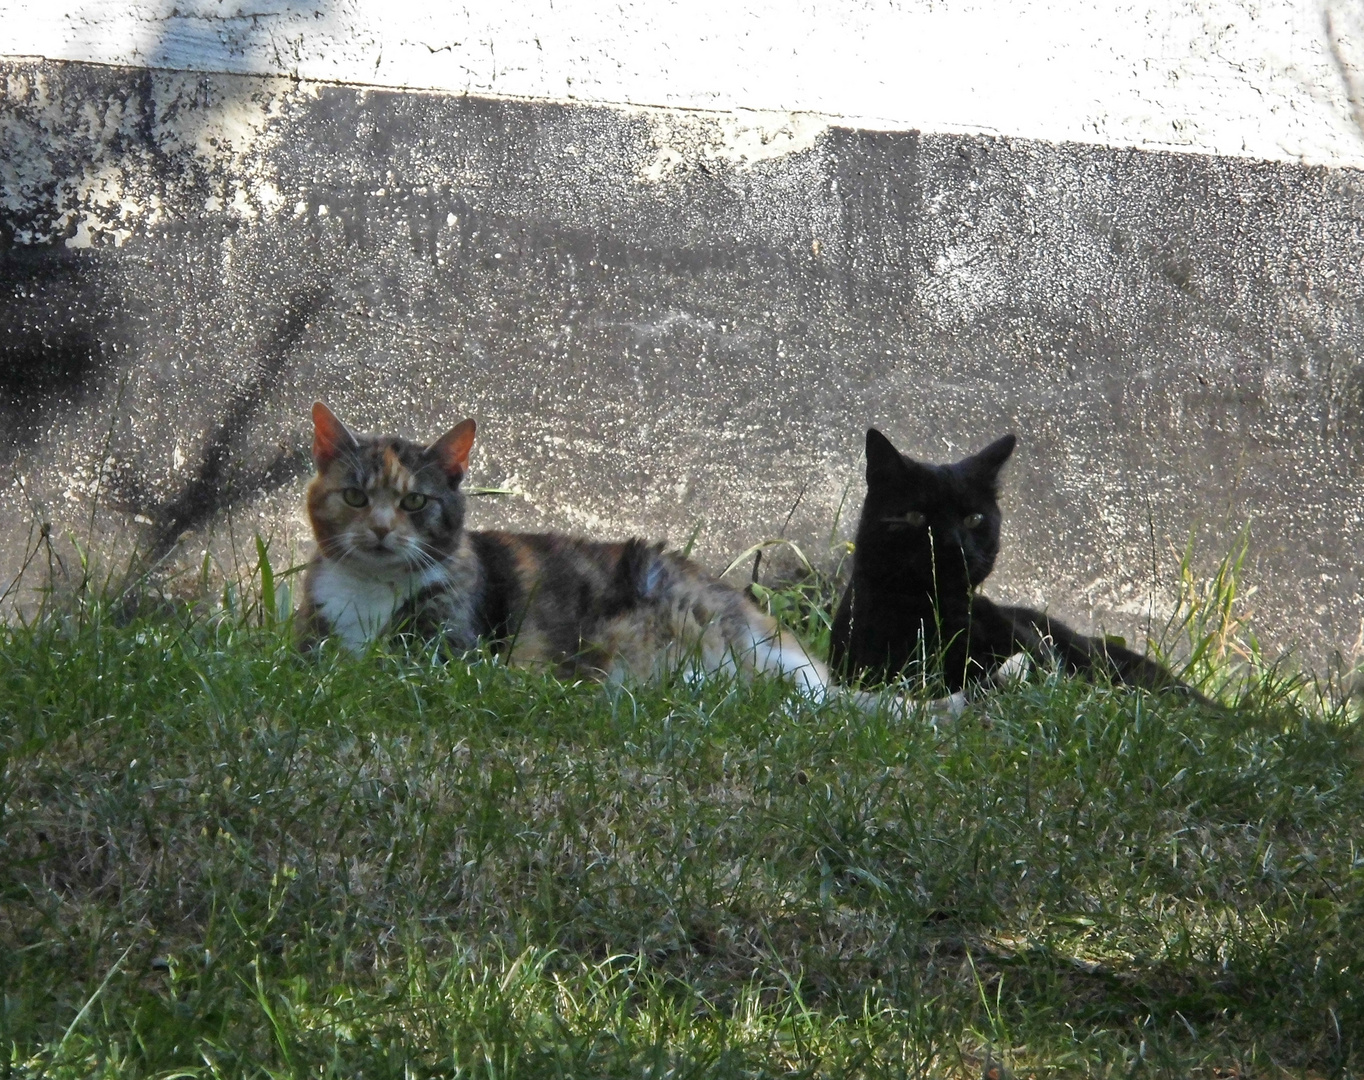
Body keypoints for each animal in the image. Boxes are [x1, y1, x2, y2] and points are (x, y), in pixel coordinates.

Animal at [298, 400, 938, 714]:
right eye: (355, 497)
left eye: (415, 501)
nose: (381, 529)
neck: (372, 592)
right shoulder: (316, 644)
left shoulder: (450, 654)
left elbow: (394, 665)